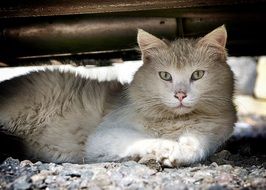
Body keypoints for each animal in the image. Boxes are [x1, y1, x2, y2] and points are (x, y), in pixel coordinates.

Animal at [0, 25, 237, 166]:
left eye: (197, 75)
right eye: (165, 76)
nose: (180, 95)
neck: (175, 121)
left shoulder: (211, 135)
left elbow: (197, 145)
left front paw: (180, 151)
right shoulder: (104, 136)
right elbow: (144, 139)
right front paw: (166, 147)